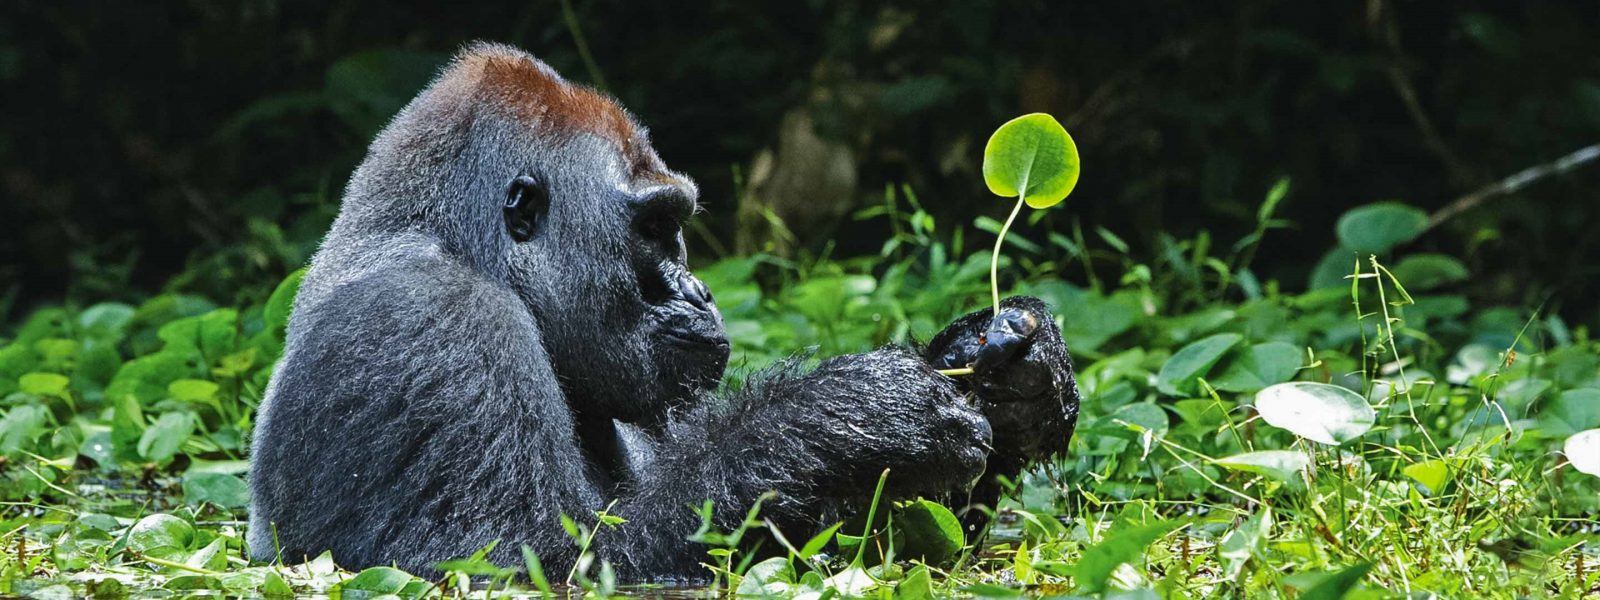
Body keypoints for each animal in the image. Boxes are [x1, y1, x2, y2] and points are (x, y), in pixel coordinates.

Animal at [248, 41, 1079, 580]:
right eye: (653, 229)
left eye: (674, 225)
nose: (698, 290)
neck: (458, 243)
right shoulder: (431, 321)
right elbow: (528, 564)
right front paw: (850, 418)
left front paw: (1011, 375)